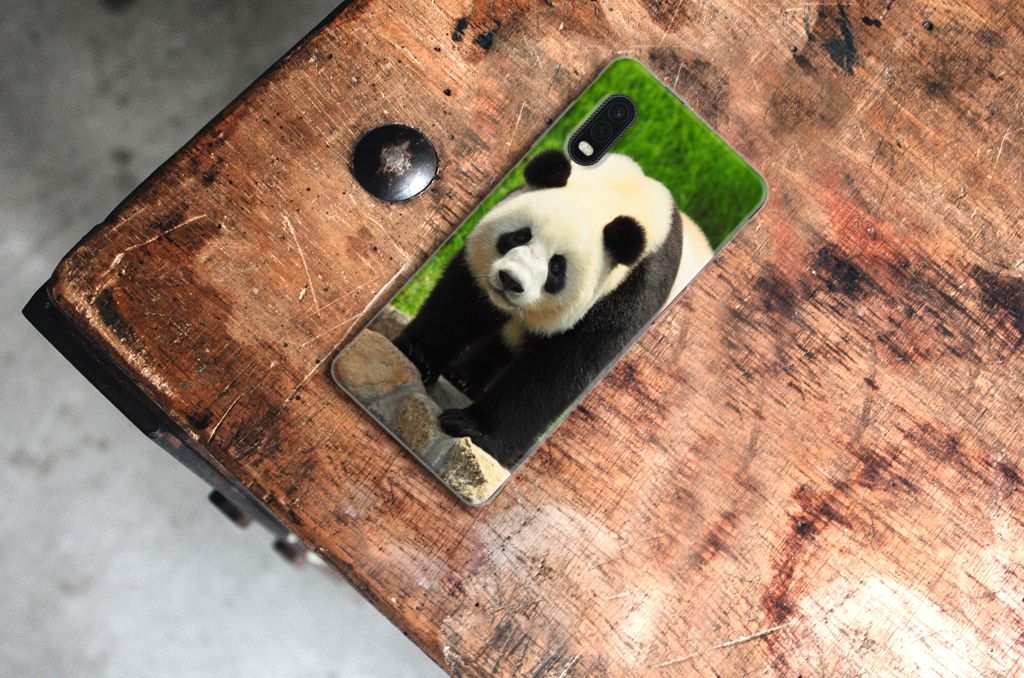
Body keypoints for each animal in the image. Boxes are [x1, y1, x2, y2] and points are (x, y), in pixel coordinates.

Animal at [393, 149, 712, 468]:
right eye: (519, 236)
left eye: (557, 268)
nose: (511, 280)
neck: (617, 195)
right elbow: (463, 301)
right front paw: (418, 356)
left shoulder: (630, 293)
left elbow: (559, 371)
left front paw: (471, 427)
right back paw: (463, 374)